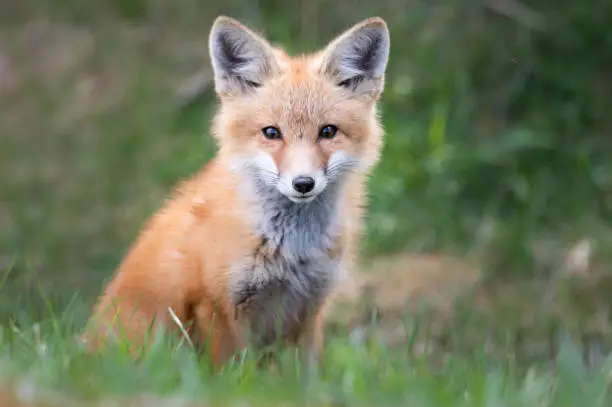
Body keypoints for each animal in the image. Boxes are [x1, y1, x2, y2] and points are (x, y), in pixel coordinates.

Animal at [82, 15, 392, 368]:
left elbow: (304, 373)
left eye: (328, 132)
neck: (290, 249)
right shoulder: (216, 305)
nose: (303, 183)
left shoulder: (308, 308)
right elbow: (229, 371)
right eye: (271, 133)